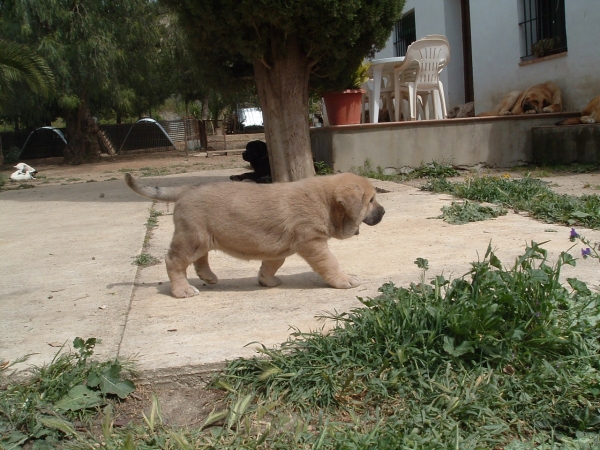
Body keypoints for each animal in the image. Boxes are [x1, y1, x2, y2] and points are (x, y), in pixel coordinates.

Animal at [125, 173, 386, 298]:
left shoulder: (279, 248)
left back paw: (208, 276)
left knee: (201, 258)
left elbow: (271, 264)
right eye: (371, 200)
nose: (383, 212)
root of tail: (186, 190)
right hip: (191, 238)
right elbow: (330, 263)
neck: (325, 202)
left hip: (201, 237)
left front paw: (266, 280)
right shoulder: (313, 242)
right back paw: (182, 290)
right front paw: (344, 280)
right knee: (174, 262)